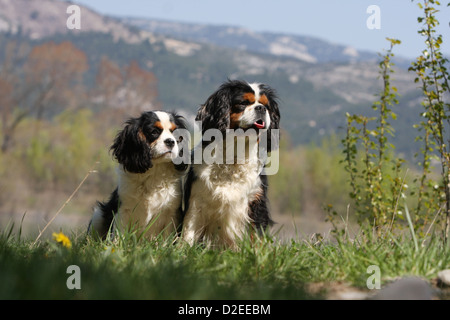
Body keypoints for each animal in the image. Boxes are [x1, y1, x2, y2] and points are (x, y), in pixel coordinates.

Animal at [89, 111, 188, 239]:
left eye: (176, 133)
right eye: (154, 132)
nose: (171, 141)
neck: (155, 172)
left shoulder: (172, 212)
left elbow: (167, 237)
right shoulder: (123, 210)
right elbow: (119, 236)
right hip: (98, 214)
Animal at [181, 79, 280, 248]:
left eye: (266, 106)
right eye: (243, 103)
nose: (261, 108)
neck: (234, 155)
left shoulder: (256, 203)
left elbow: (256, 235)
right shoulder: (196, 201)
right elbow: (188, 232)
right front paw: (182, 250)